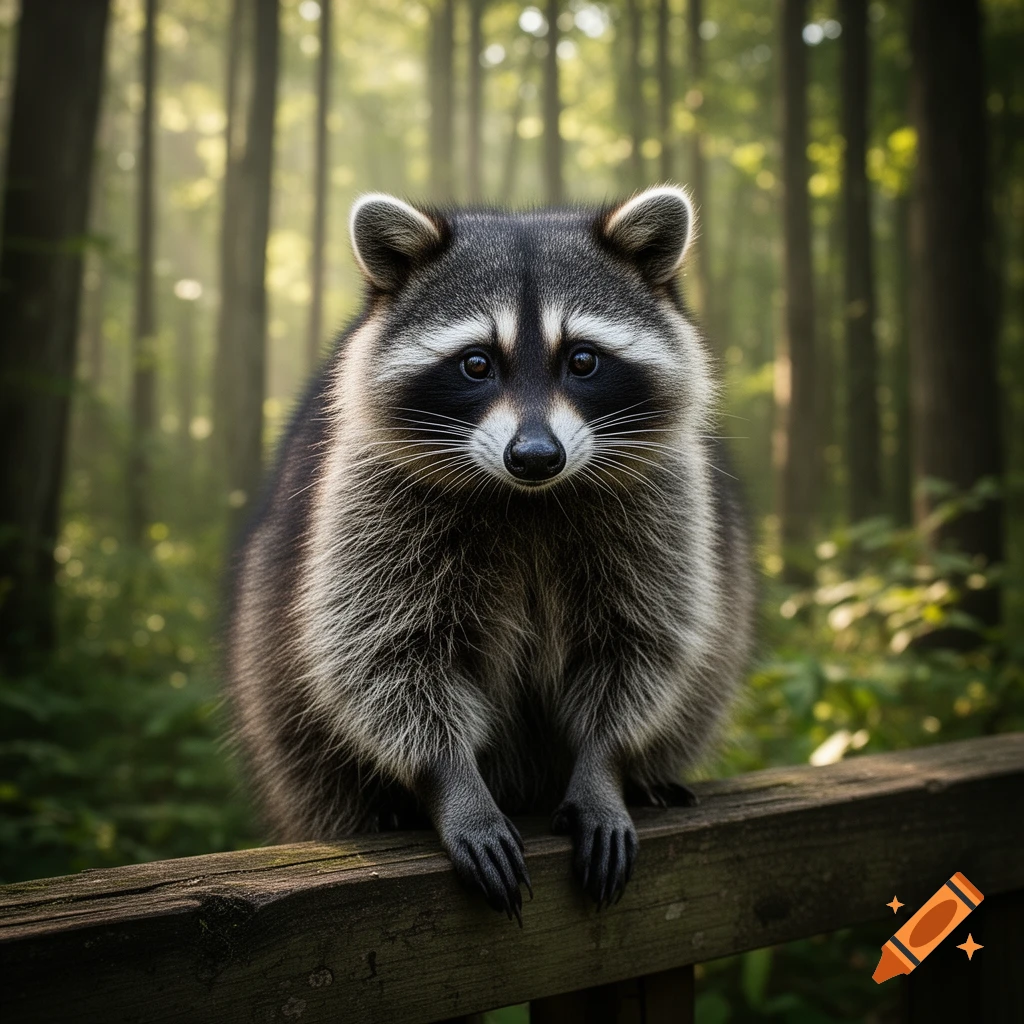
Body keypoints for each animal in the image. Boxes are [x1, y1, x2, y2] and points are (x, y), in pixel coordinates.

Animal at [226, 185, 754, 922]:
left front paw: (605, 767)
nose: (534, 455)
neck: (529, 498)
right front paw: (453, 784)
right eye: (476, 363)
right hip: (279, 707)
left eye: (582, 360)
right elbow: (382, 653)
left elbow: (641, 643)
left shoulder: (662, 503)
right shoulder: (367, 499)